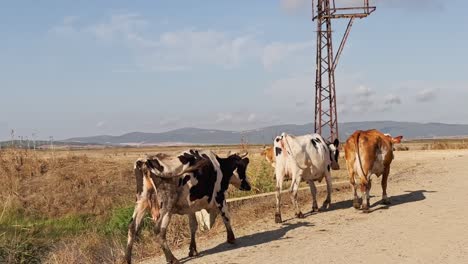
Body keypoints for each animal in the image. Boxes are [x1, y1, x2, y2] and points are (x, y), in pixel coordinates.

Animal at [122, 150, 250, 262]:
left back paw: (127, 259)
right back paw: (171, 258)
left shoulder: (191, 207)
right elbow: (226, 216)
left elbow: (193, 226)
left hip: (141, 200)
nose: (248, 186)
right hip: (167, 205)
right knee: (158, 229)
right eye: (243, 167)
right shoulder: (220, 196)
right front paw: (231, 238)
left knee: (132, 227)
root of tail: (146, 160)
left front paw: (192, 249)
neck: (219, 166)